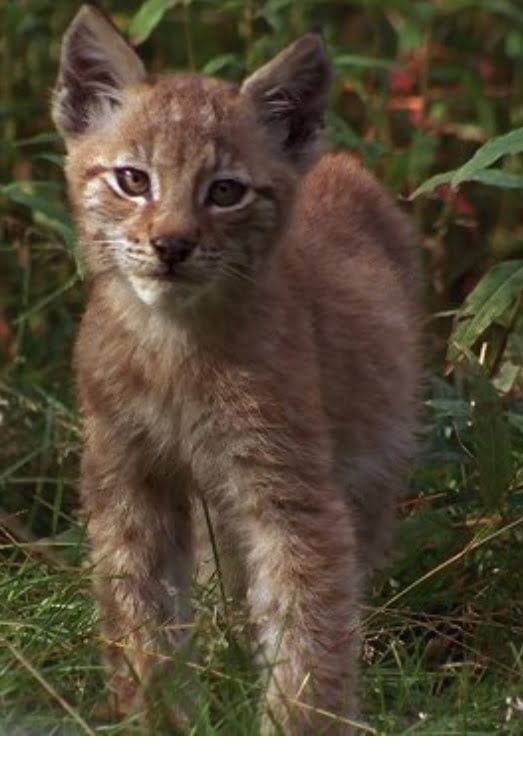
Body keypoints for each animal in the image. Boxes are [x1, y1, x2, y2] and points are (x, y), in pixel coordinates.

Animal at [53, 4, 422, 736]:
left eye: (225, 192)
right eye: (133, 180)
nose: (171, 245)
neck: (171, 341)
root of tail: (338, 162)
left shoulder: (291, 487)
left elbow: (309, 623)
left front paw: (300, 728)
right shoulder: (127, 473)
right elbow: (139, 616)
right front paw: (156, 718)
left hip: (368, 463)